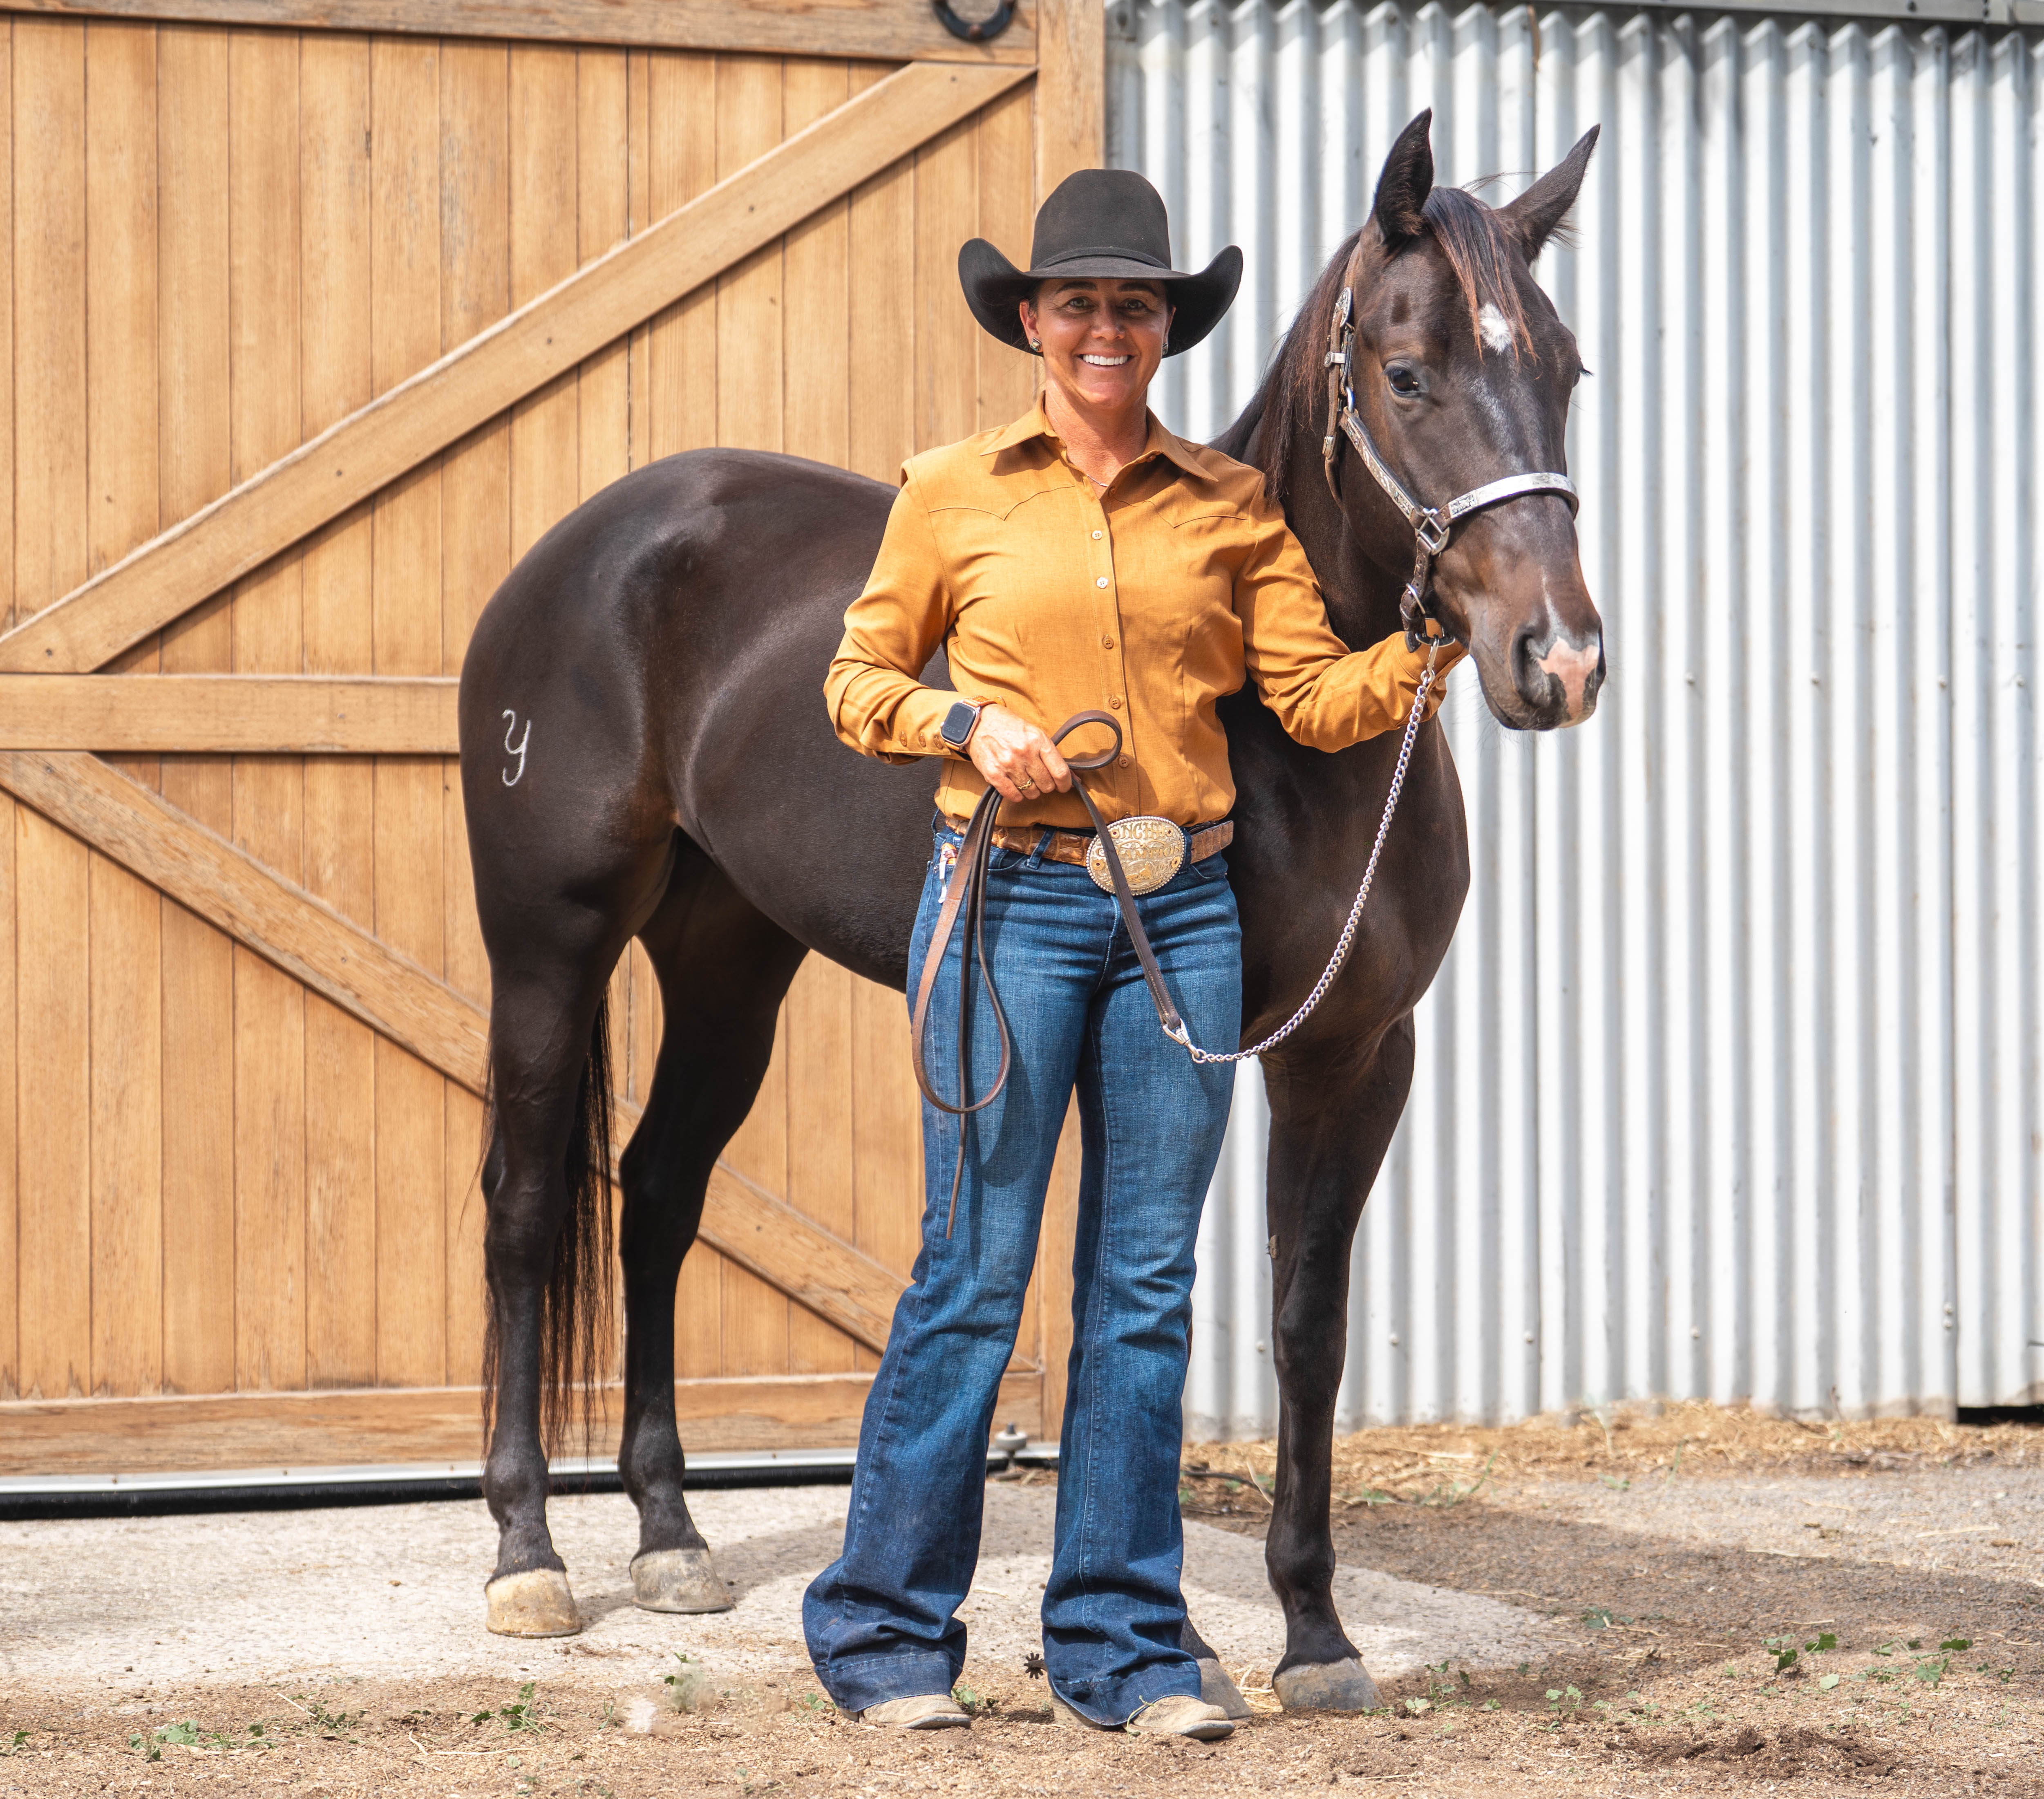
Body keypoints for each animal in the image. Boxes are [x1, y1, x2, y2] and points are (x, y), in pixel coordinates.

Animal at [456, 110, 1604, 1709]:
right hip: (549, 945)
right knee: (521, 1204)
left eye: (1563, 371)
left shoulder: (1352, 1052)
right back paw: (528, 1557)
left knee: (662, 1193)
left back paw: (672, 1536)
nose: (1555, 661)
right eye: (1408, 372)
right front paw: (1188, 1638)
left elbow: (1303, 1323)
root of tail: (590, 544)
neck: (1288, 734)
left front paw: (1311, 1634)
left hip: (730, 962)